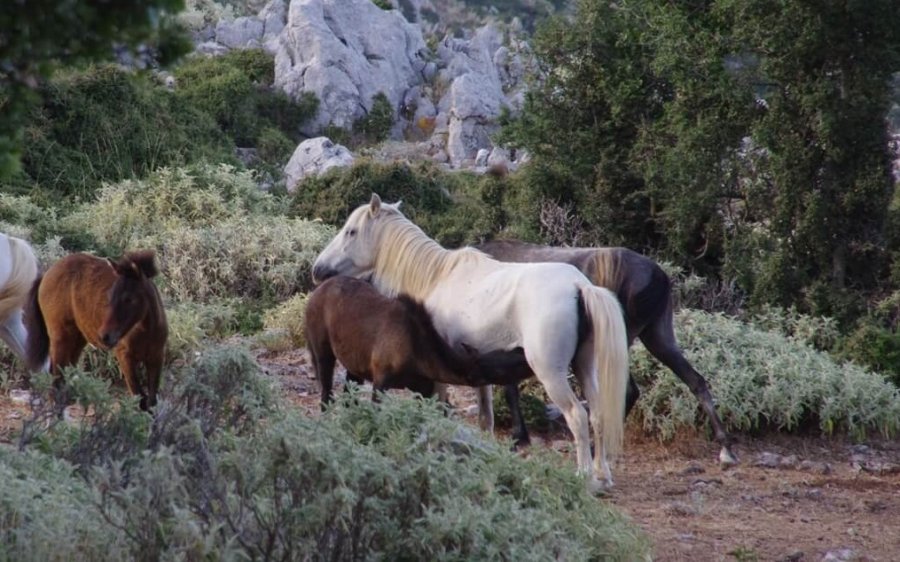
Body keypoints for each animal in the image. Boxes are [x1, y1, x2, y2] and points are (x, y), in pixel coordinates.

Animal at [24, 252, 169, 410]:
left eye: (129, 299)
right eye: (110, 296)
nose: (105, 336)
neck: (146, 331)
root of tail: (47, 274)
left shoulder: (156, 358)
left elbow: (151, 401)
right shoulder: (125, 357)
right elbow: (140, 398)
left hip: (77, 340)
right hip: (60, 338)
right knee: (57, 377)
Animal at [302, 276, 532, 406]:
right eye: (501, 368)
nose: (524, 352)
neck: (419, 355)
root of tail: (314, 294)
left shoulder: (424, 389)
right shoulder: (381, 380)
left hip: (354, 366)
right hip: (322, 351)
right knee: (326, 394)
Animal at [478, 236, 740, 464]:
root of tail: (662, 278)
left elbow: (508, 390)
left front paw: (518, 438)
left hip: (619, 339)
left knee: (630, 390)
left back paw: (598, 448)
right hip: (658, 334)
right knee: (696, 380)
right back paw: (726, 447)